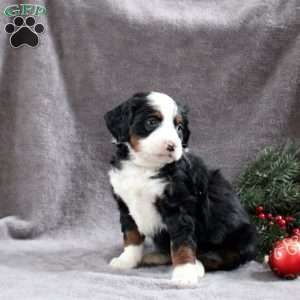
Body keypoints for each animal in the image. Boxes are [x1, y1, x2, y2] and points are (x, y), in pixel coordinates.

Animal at [104, 91, 256, 286]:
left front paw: (185, 273)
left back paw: (197, 265)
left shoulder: (180, 208)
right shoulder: (125, 205)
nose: (172, 146)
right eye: (151, 122)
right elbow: (131, 237)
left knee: (225, 257)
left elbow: (181, 244)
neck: (145, 167)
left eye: (179, 128)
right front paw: (127, 260)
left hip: (243, 235)